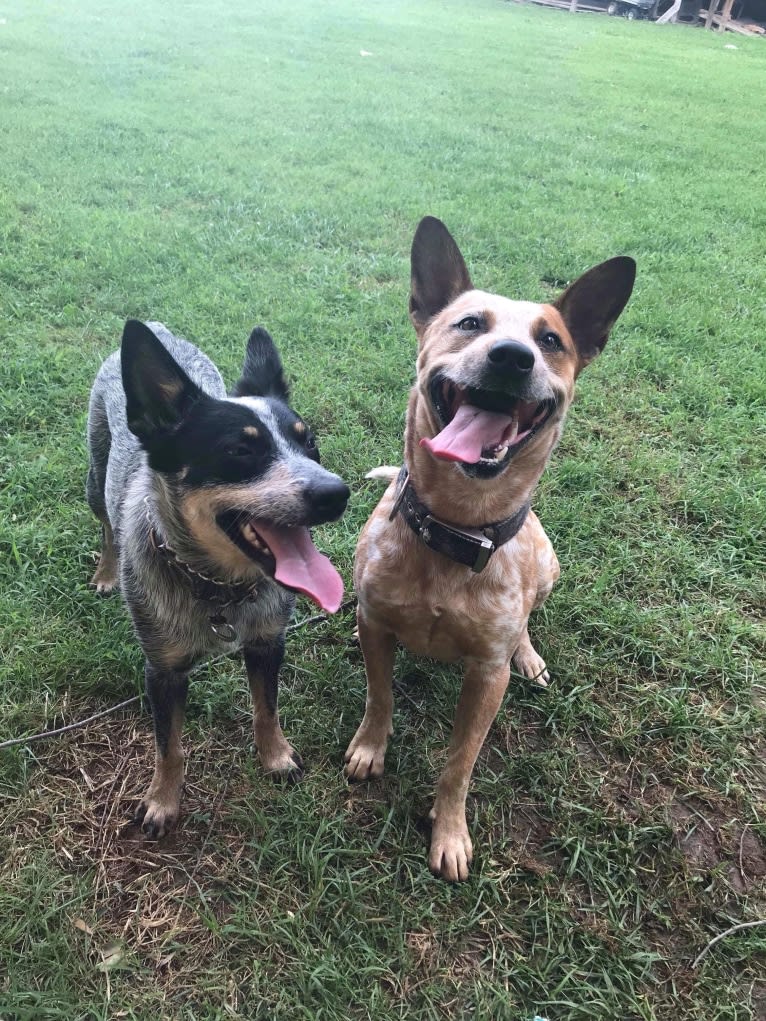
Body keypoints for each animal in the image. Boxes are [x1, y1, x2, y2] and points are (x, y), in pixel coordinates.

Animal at [85, 320, 349, 837]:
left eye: (309, 443)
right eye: (240, 450)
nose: (336, 493)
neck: (217, 587)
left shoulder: (267, 641)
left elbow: (266, 709)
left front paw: (276, 757)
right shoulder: (162, 670)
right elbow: (169, 746)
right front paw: (162, 802)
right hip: (95, 469)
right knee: (106, 523)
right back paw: (106, 570)